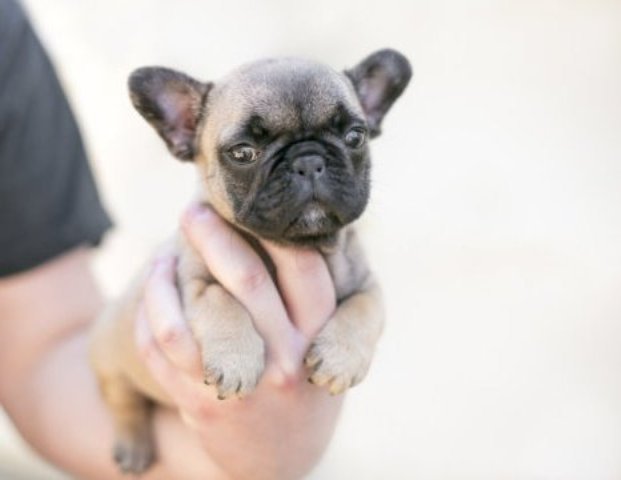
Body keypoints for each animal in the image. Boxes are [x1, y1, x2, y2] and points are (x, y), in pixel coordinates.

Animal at [89, 48, 412, 472]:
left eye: (354, 136)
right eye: (243, 152)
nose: (308, 160)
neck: (297, 246)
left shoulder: (366, 280)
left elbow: (366, 307)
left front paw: (340, 359)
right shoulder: (193, 280)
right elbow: (221, 300)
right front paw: (236, 361)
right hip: (112, 360)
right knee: (124, 402)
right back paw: (133, 445)